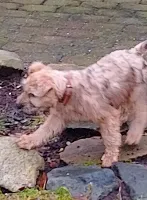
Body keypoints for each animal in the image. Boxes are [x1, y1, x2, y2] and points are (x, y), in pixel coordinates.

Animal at [16, 40, 147, 167]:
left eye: (32, 95)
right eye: (24, 90)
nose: (17, 105)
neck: (68, 91)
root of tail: (134, 51)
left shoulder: (107, 115)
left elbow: (111, 138)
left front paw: (109, 157)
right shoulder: (57, 117)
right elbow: (43, 131)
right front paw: (28, 140)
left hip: (137, 94)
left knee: (141, 113)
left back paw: (133, 135)